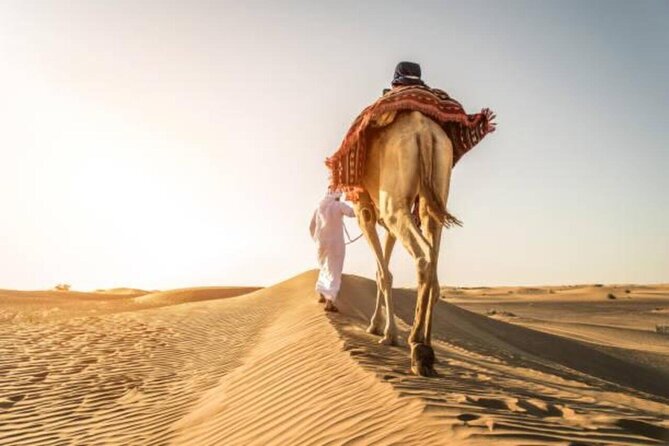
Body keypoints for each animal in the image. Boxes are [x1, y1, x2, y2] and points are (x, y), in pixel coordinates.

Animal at [351, 110, 472, 377]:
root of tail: (424, 132)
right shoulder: (387, 222)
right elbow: (382, 270)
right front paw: (379, 327)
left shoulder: (363, 208)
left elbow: (383, 274)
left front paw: (386, 333)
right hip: (435, 190)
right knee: (434, 257)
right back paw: (427, 347)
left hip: (394, 203)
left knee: (424, 257)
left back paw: (418, 348)